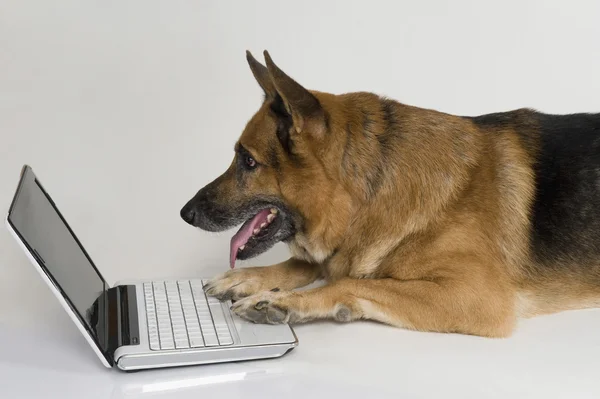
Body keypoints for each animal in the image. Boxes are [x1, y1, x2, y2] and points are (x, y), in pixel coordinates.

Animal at [180, 50, 600, 338]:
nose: (185, 213)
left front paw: (283, 299)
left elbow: (349, 282)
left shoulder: (477, 297)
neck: (370, 194)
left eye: (247, 161)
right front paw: (247, 279)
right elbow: (305, 264)